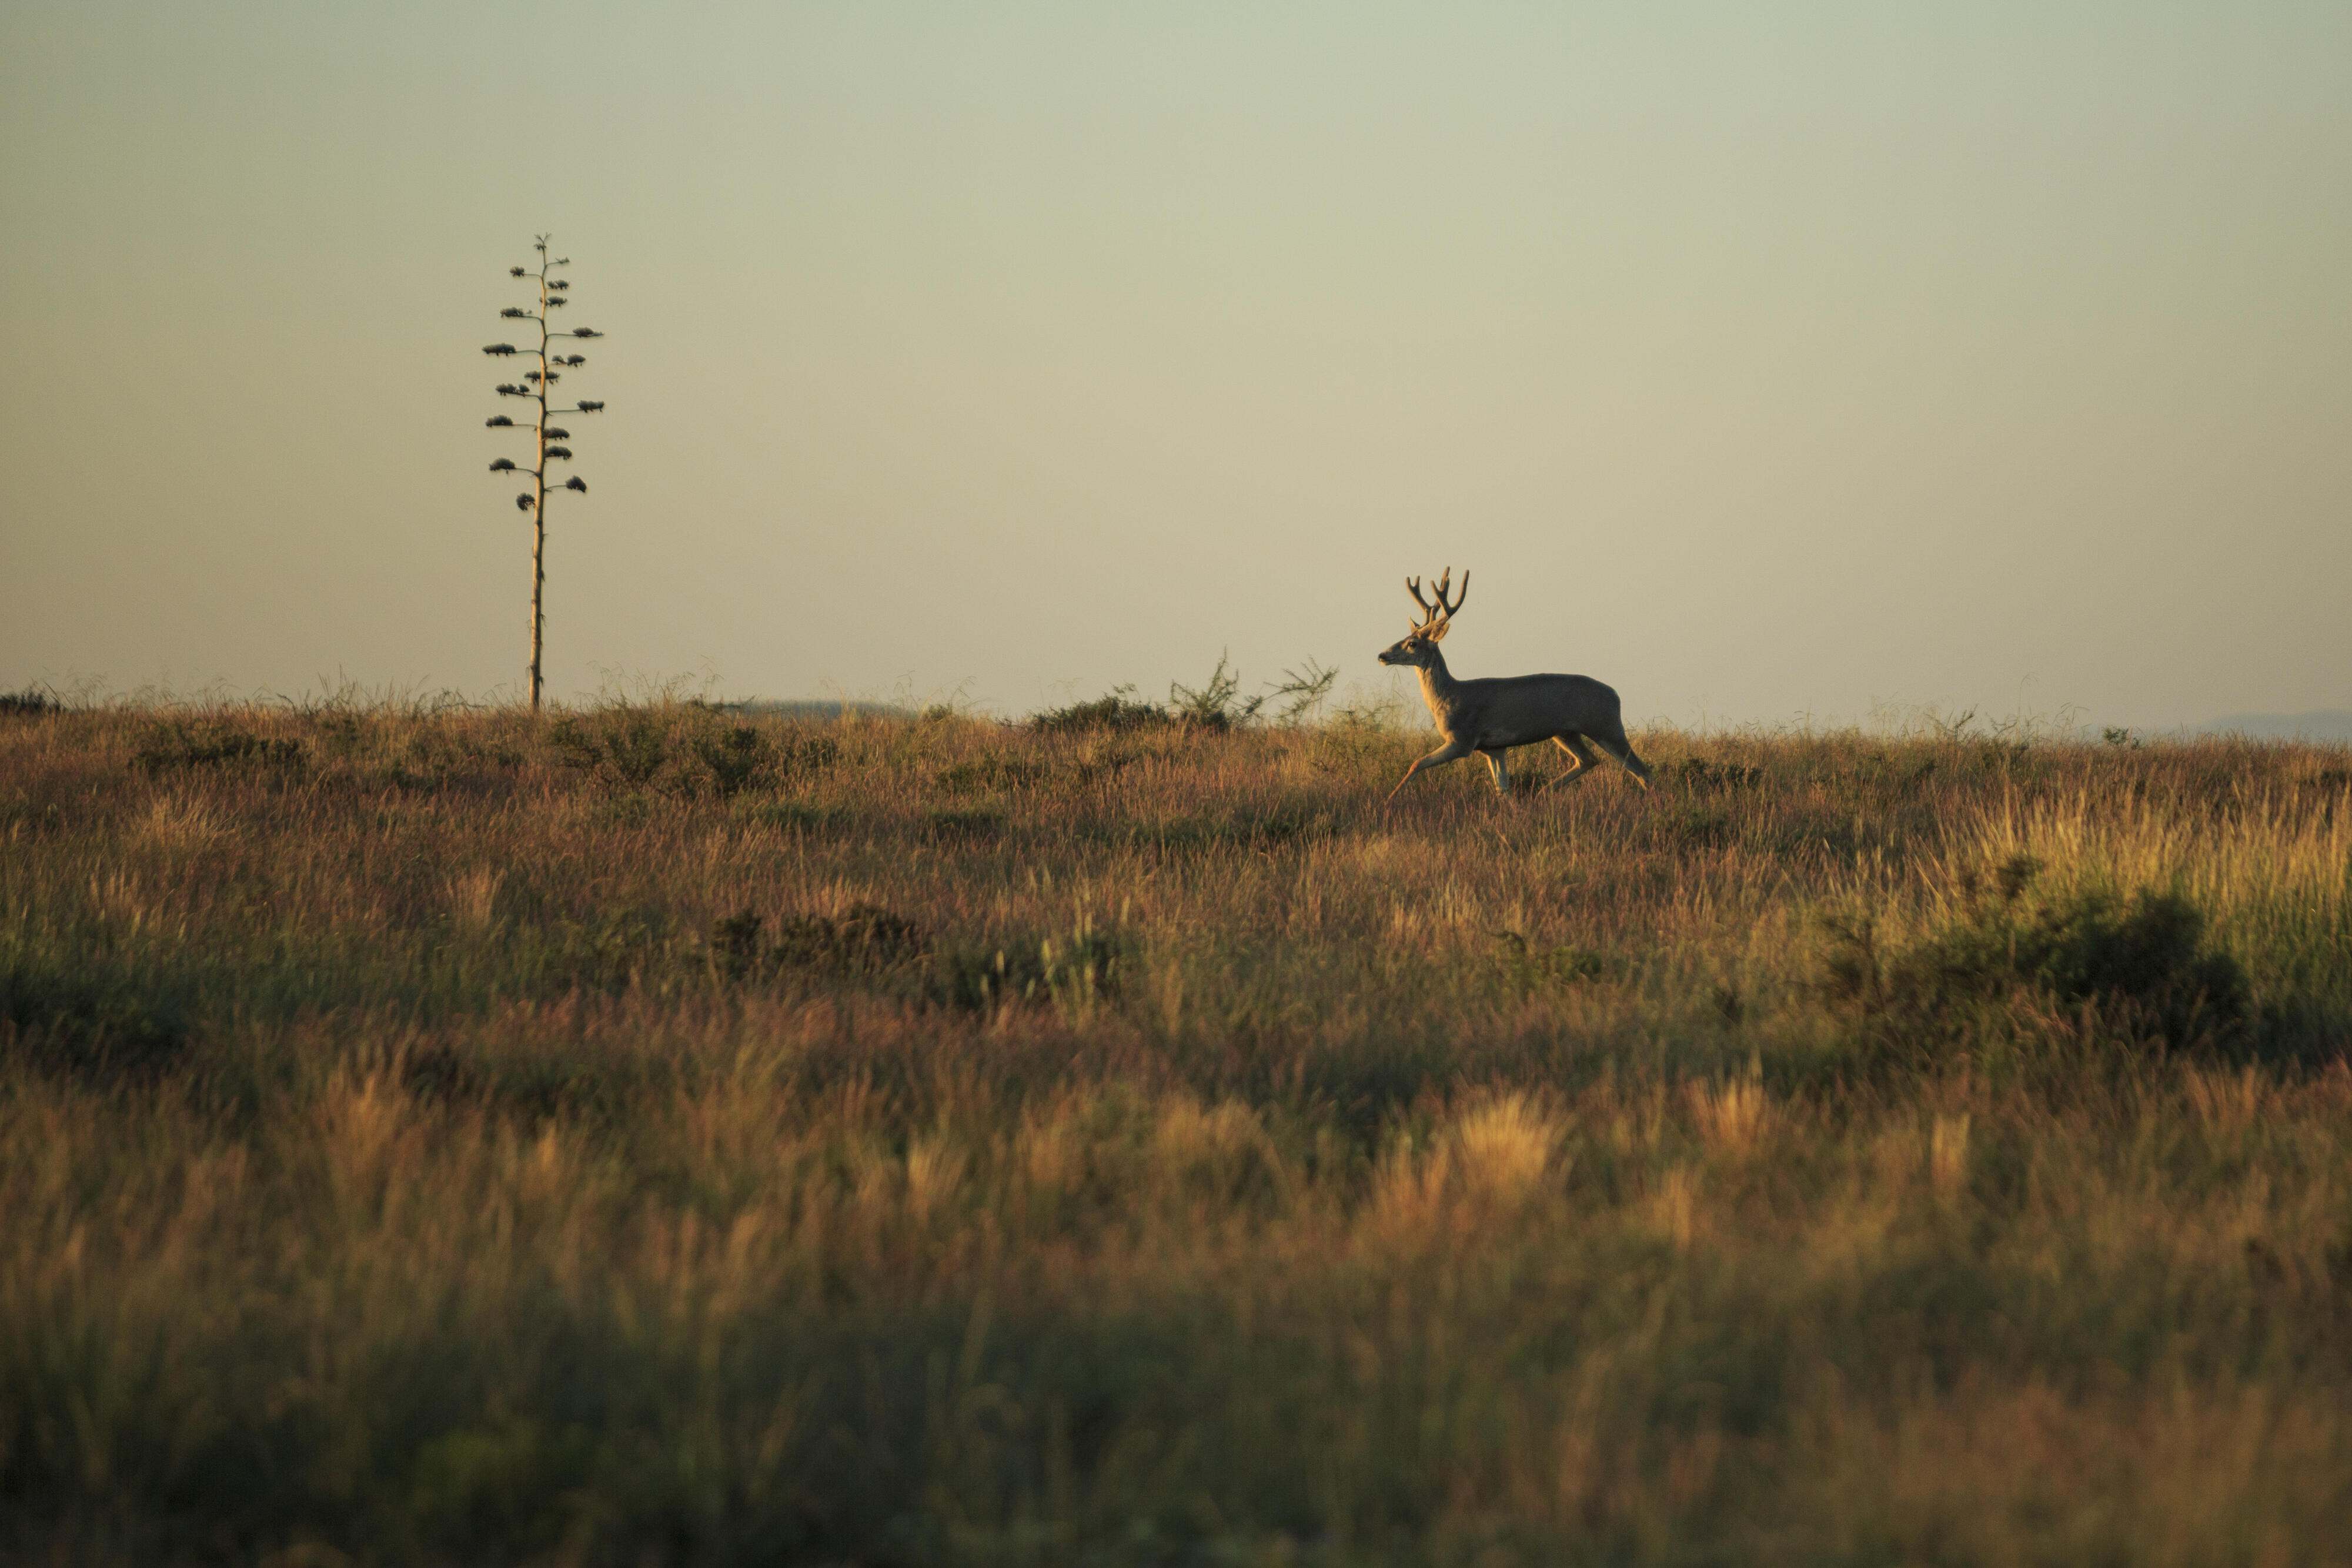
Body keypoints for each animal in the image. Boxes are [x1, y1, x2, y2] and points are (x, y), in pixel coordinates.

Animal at [1374, 571, 1656, 804]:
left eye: (1412, 643)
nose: (1382, 655)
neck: (1449, 697)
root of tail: (1616, 695)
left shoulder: (1462, 739)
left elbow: (1417, 763)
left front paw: (1388, 800)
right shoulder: (1494, 749)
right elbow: (1503, 790)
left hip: (1605, 726)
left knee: (1642, 770)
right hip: (1566, 732)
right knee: (1590, 760)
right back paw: (1543, 792)